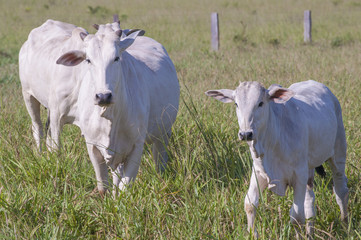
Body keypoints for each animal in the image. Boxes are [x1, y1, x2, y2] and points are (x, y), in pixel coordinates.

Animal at [19, 18, 179, 195]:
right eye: (88, 59)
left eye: (117, 58)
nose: (103, 96)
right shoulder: (62, 121)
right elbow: (58, 151)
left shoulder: (135, 145)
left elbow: (124, 187)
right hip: (28, 95)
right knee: (38, 129)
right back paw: (39, 155)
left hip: (163, 133)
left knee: (159, 161)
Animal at [207, 80, 348, 238]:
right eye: (236, 104)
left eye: (260, 103)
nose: (245, 134)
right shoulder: (259, 172)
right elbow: (249, 204)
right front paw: (253, 234)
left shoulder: (298, 175)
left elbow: (296, 216)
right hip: (309, 169)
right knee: (309, 200)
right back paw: (310, 233)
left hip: (338, 153)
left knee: (341, 190)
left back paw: (345, 224)